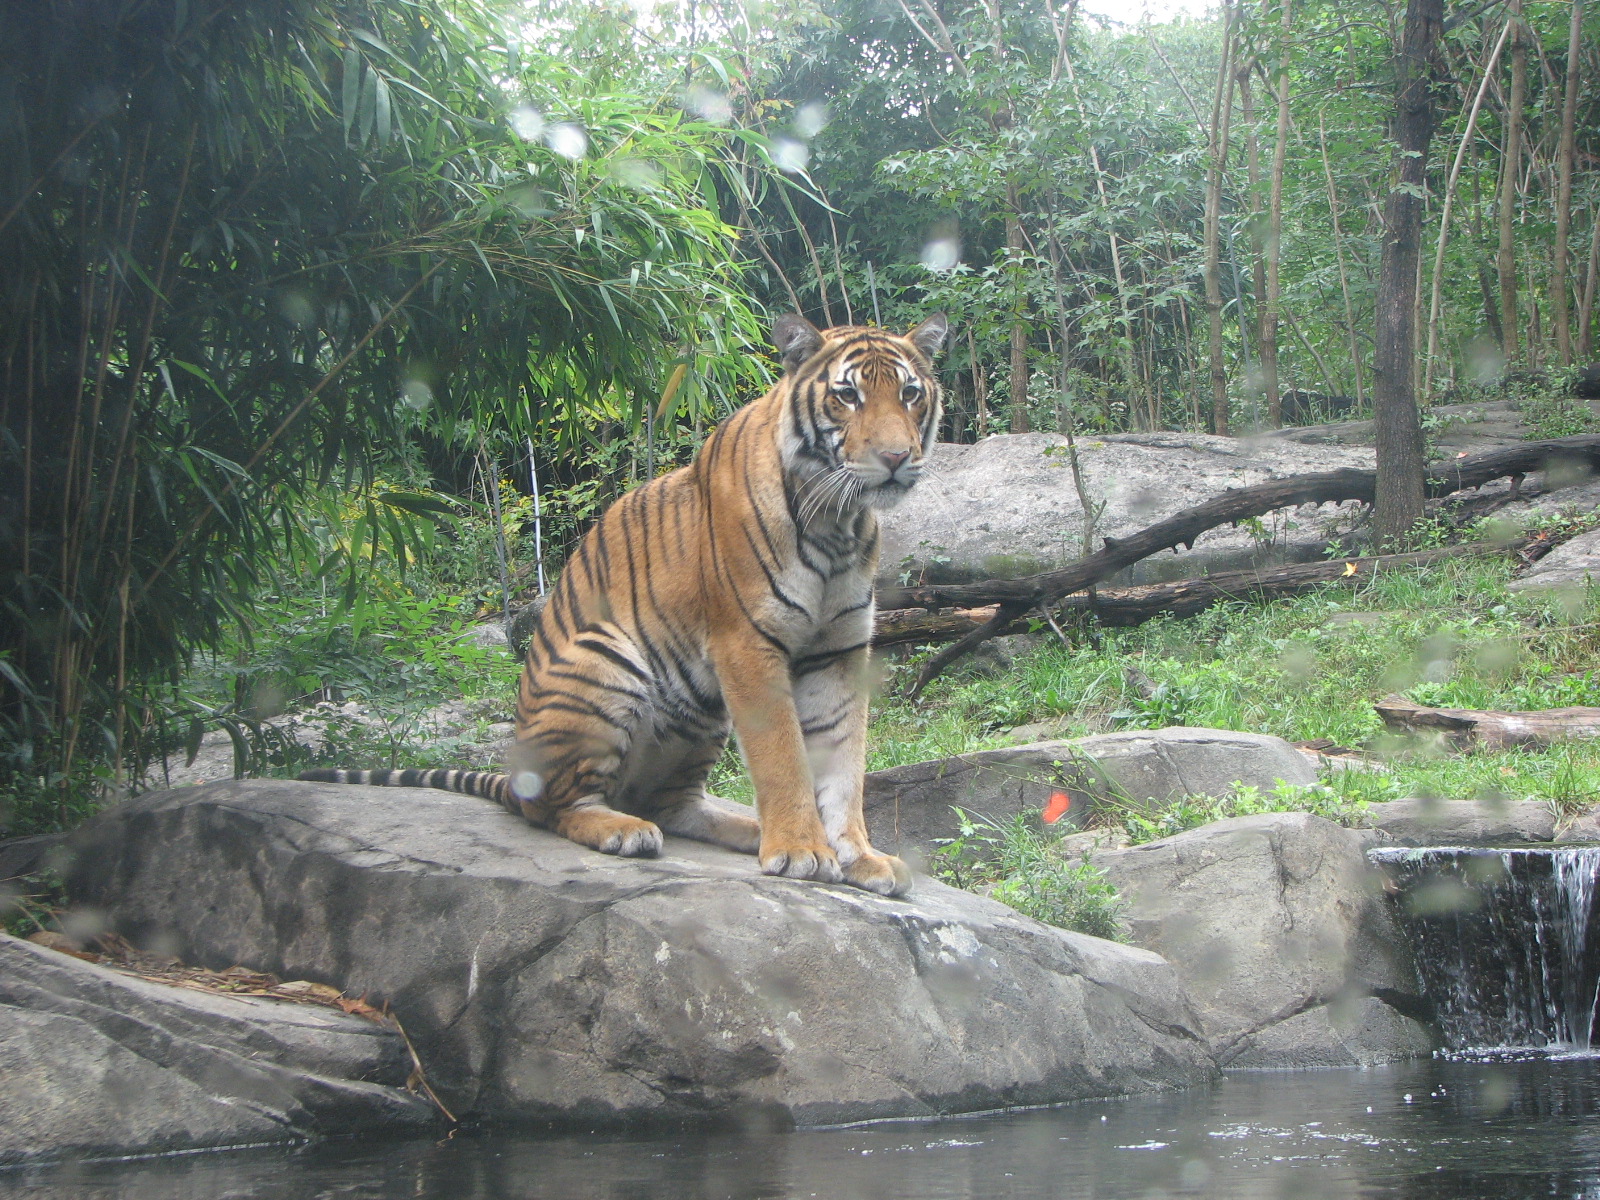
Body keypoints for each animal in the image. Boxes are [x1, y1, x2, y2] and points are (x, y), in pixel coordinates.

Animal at [300, 312, 947, 897]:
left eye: (909, 394)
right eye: (847, 396)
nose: (895, 458)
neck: (839, 519)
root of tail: (513, 776)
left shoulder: (838, 651)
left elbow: (843, 765)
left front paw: (858, 856)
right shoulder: (747, 644)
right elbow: (782, 756)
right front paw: (800, 851)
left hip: (701, 716)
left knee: (669, 804)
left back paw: (744, 827)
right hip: (605, 660)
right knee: (555, 809)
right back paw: (623, 830)